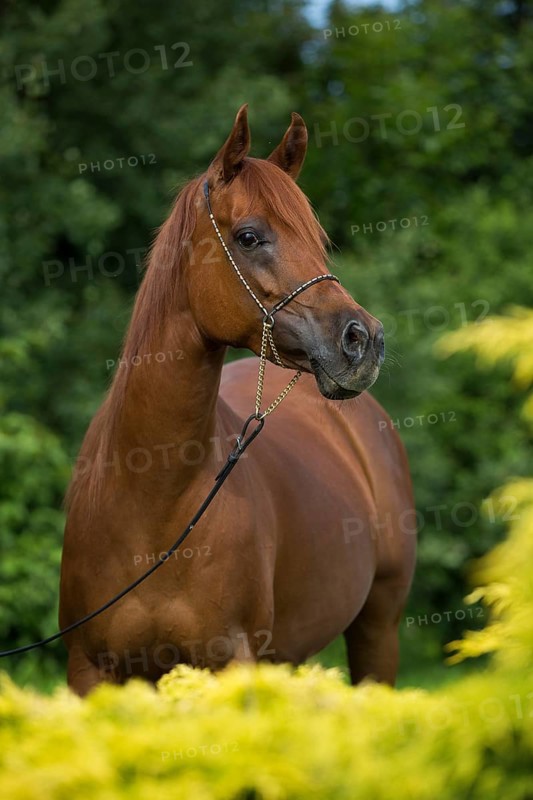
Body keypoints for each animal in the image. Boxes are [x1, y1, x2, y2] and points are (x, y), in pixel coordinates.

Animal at [59, 104, 416, 696]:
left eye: (317, 238)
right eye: (249, 237)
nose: (363, 340)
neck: (148, 495)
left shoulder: (231, 662)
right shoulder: (91, 672)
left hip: (378, 631)